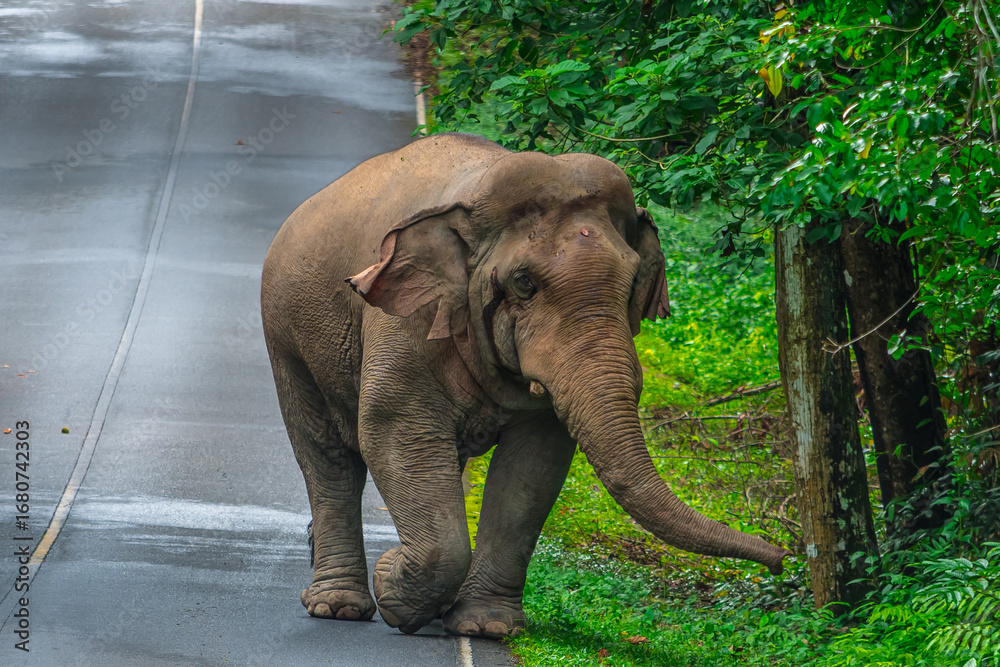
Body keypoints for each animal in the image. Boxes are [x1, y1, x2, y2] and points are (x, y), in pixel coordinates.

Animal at [260, 132, 789, 638]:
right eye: (524, 282)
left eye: (633, 282)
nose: (783, 558)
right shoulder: (405, 323)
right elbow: (393, 430)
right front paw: (392, 585)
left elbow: (534, 465)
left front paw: (484, 626)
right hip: (286, 335)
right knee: (326, 452)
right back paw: (337, 606)